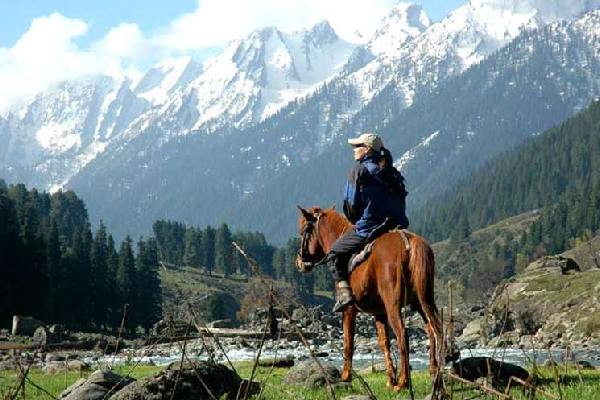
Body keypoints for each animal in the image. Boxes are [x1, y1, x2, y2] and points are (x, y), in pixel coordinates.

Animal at [296, 206, 442, 390]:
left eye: (304, 231)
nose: (299, 262)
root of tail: (407, 241)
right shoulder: (379, 313)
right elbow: (383, 342)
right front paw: (390, 379)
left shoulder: (349, 310)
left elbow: (348, 343)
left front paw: (345, 376)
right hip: (422, 301)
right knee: (432, 329)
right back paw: (434, 374)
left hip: (394, 305)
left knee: (403, 335)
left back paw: (403, 382)